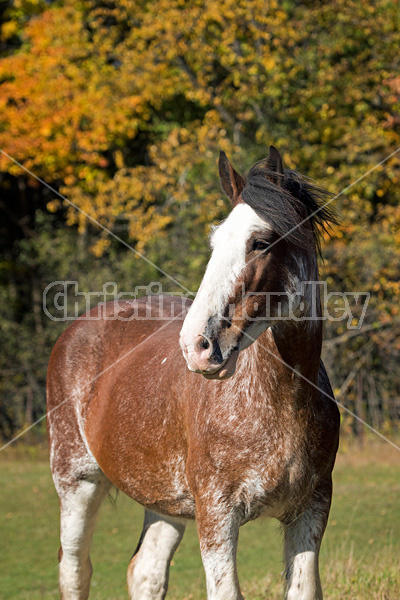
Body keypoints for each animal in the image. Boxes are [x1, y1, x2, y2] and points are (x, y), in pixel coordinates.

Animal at [47, 146, 340, 600]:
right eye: (215, 242)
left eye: (260, 242)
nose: (197, 346)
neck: (281, 402)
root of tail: (76, 328)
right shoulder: (217, 513)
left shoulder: (311, 508)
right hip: (77, 483)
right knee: (75, 570)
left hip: (165, 502)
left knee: (145, 571)